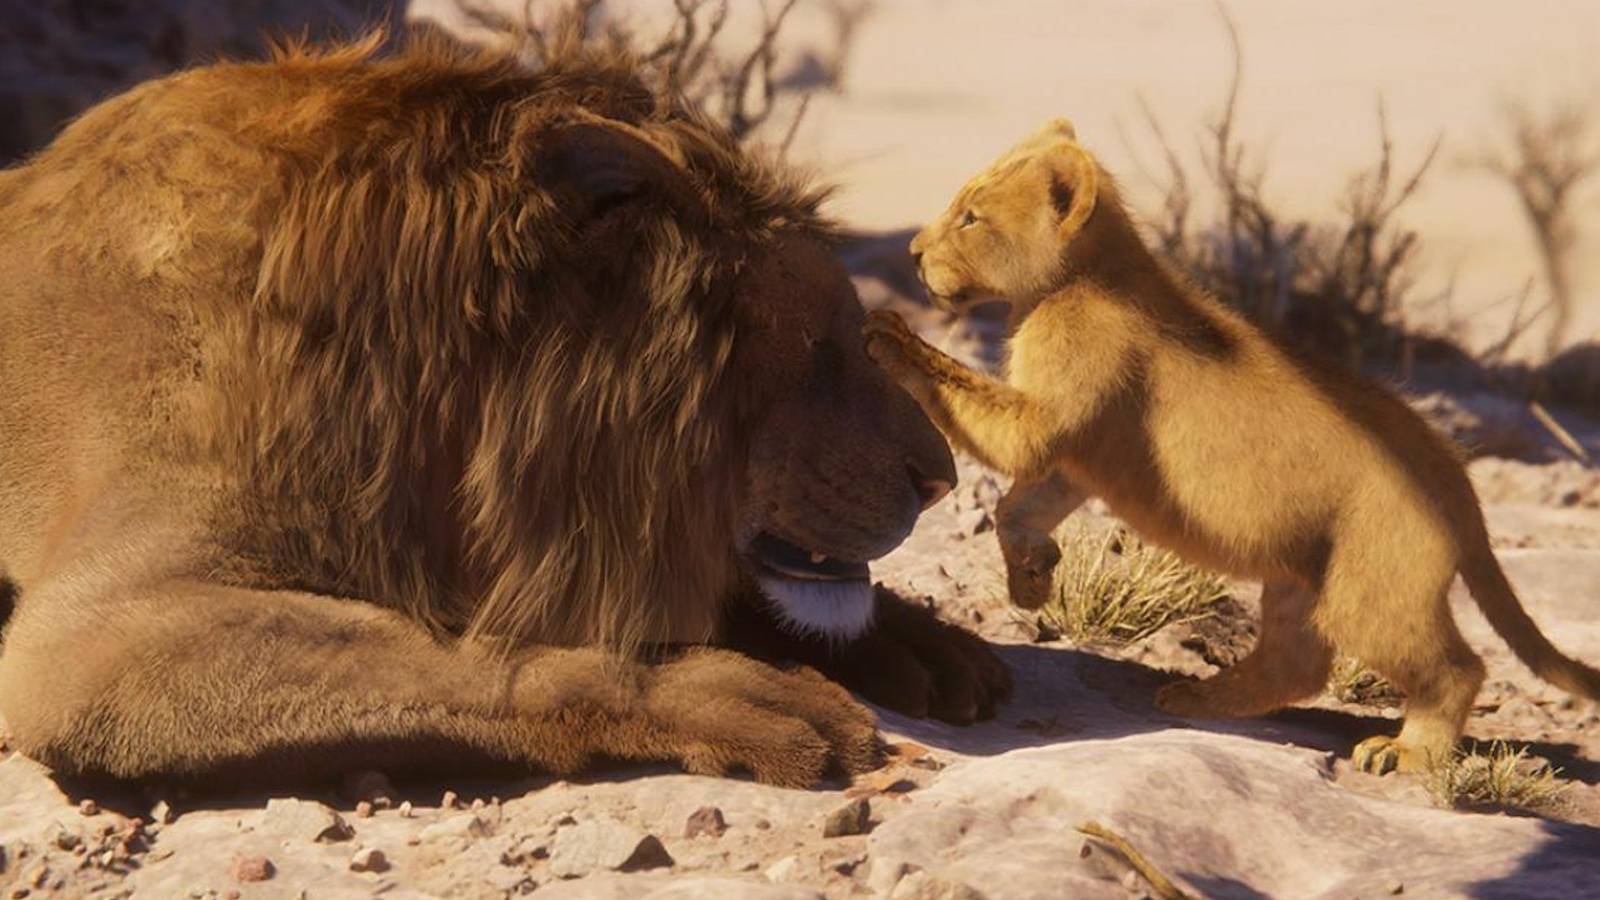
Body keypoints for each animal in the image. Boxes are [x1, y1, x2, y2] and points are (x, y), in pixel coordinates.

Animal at [0, 30, 1012, 790]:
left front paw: (920, 644)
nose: (940, 481)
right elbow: (465, 656)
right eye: (818, 349)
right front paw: (743, 693)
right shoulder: (90, 636)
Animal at [863, 118, 1600, 774]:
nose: (912, 252)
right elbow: (1018, 507)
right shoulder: (1080, 452)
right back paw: (1202, 696)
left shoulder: (1050, 411)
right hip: (1304, 575)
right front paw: (1033, 577)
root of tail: (1460, 481)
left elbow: (983, 416)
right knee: (1296, 664)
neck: (1082, 277)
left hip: (1373, 588)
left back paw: (1405, 752)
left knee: (1454, 668)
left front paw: (891, 337)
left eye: (970, 217)